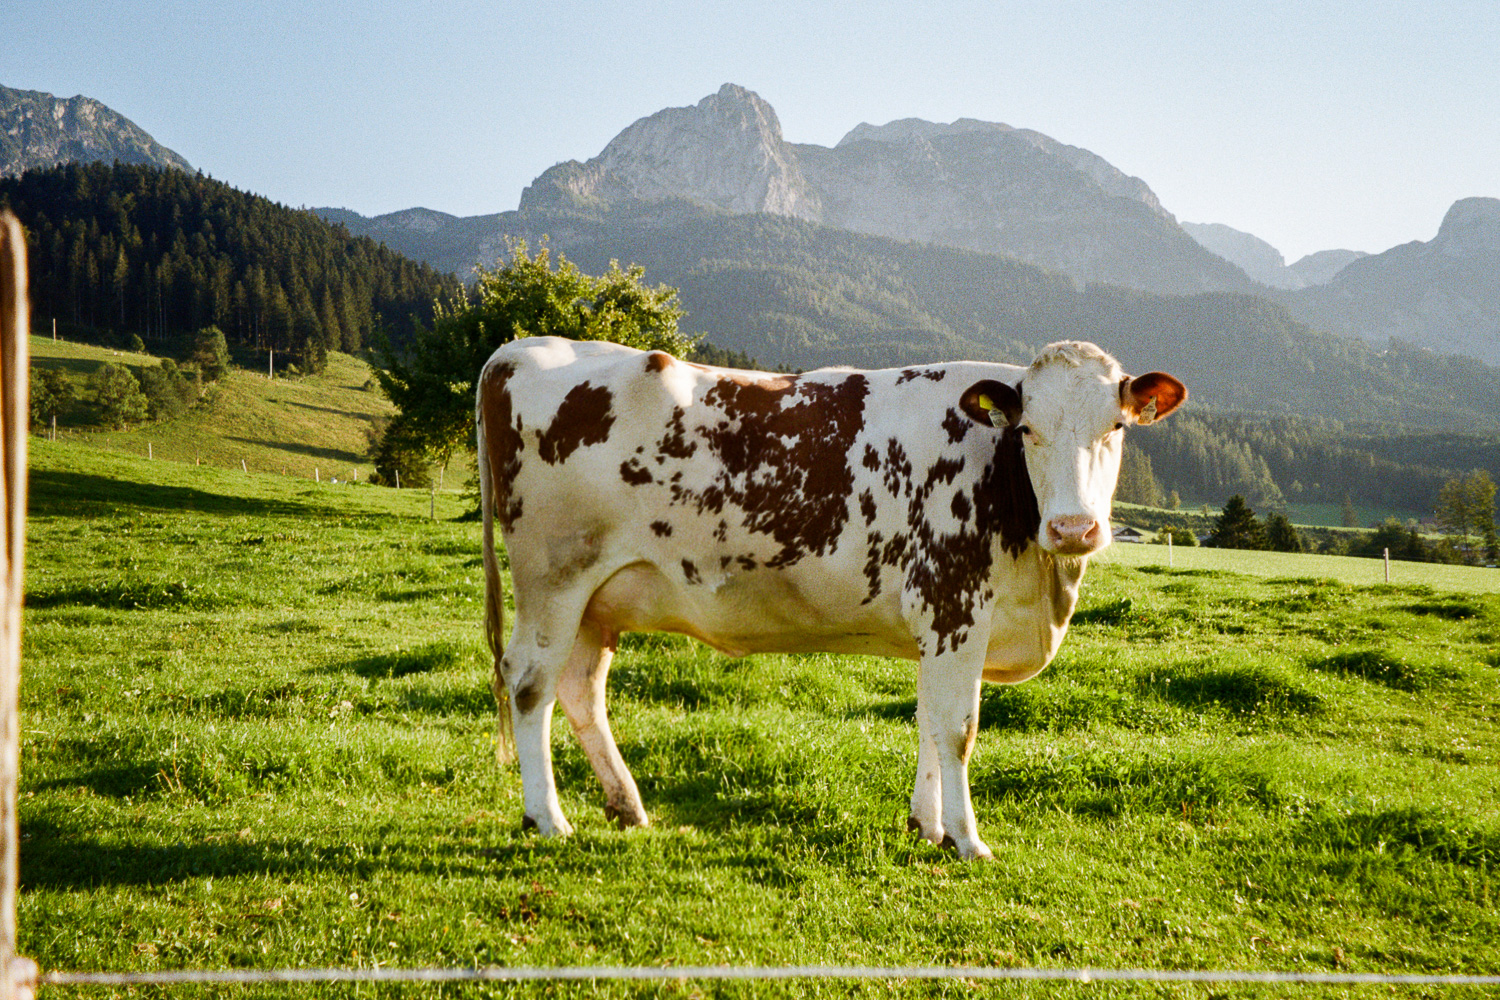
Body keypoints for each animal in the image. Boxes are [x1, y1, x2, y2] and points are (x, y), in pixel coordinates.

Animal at [476, 336, 1186, 859]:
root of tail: (523, 347)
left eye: (1116, 427)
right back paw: (548, 817)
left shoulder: (939, 628)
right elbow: (957, 729)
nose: (1074, 528)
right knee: (530, 684)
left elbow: (927, 720)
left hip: (597, 598)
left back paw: (626, 806)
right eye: (1029, 430)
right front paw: (967, 840)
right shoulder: (953, 606)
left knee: (580, 689)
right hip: (553, 579)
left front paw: (927, 825)